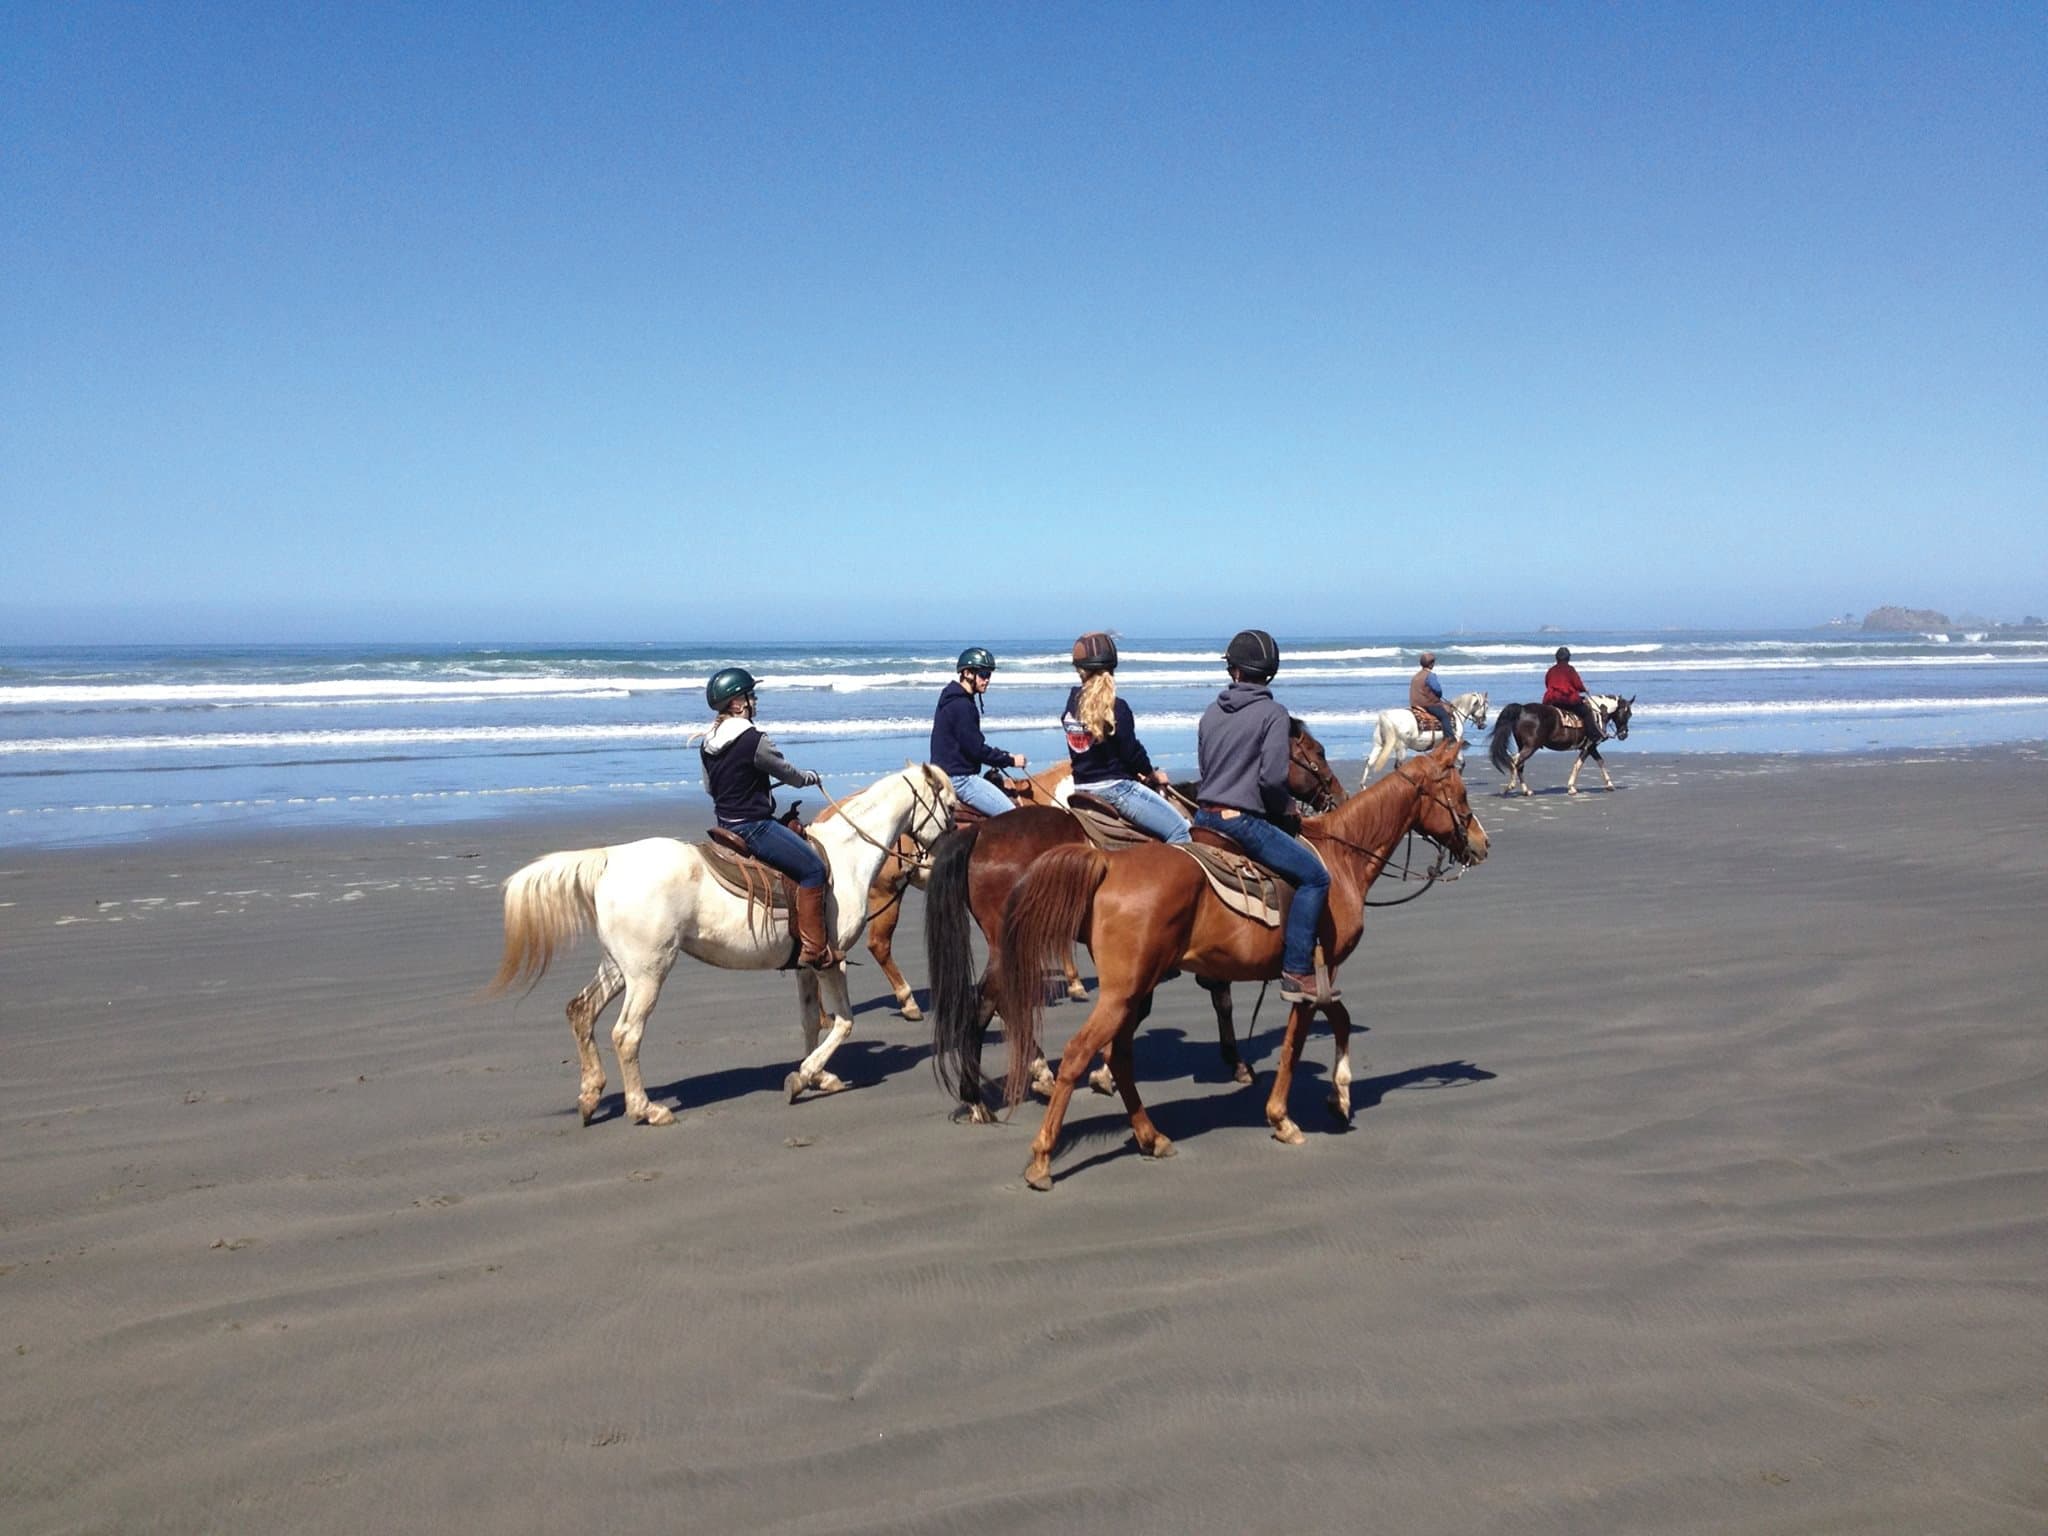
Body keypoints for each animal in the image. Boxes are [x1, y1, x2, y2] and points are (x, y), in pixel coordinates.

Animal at [489, 765, 958, 1122]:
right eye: (952, 809)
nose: (944, 860)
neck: (846, 856)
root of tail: (610, 860)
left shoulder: (807, 964)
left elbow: (812, 1021)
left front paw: (817, 1076)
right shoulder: (831, 961)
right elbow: (842, 1022)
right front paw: (802, 1077)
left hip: (619, 966)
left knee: (581, 1011)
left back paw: (590, 1096)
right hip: (648, 972)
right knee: (626, 1034)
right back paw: (646, 1109)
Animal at [933, 720, 1351, 1130]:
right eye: (1316, 752)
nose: (1339, 796)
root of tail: (982, 832)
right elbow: (1218, 998)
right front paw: (1235, 1062)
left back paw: (1023, 1077)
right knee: (990, 1000)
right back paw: (982, 1095)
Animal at [970, 741, 1490, 1196]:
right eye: (1460, 794)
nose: (1481, 844)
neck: (1340, 858)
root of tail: (1107, 863)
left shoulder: (1314, 979)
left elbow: (1335, 1021)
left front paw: (1336, 1096)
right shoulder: (1311, 977)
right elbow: (1296, 1043)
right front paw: (1289, 1115)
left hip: (1130, 989)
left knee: (1113, 1053)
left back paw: (1148, 1136)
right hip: (1119, 990)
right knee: (1073, 1050)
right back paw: (1040, 1154)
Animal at [1359, 696, 1490, 786]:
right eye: (1486, 707)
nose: (1483, 724)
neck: (1456, 716)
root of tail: (1385, 717)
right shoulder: (1455, 743)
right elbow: (1462, 763)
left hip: (1378, 745)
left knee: (1369, 762)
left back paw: (1363, 785)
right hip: (1402, 747)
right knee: (1398, 767)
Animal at [1482, 696, 1638, 798]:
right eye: (1627, 713)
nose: (1624, 734)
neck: (1598, 713)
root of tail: (1522, 709)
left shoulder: (1591, 748)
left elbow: (1600, 761)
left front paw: (1609, 784)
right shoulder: (1589, 746)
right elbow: (1579, 764)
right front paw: (1571, 787)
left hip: (1523, 745)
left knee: (1519, 764)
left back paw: (1527, 791)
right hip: (1531, 746)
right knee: (1515, 760)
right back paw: (1509, 787)